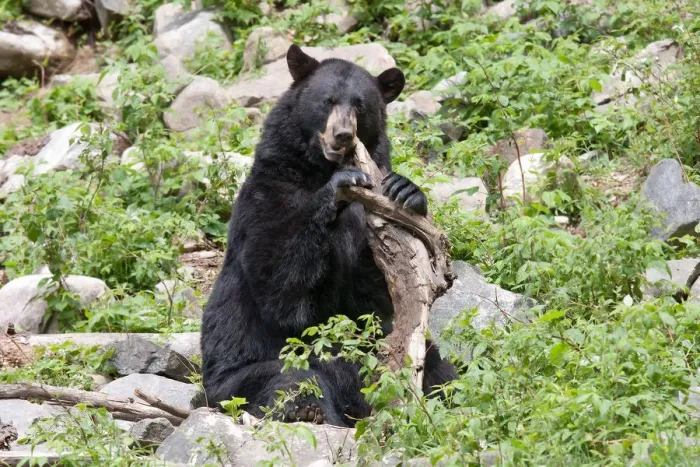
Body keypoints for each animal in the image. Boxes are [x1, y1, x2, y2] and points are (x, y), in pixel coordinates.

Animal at [200, 44, 456, 427]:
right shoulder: (266, 195)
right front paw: (340, 186)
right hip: (232, 383)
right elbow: (281, 284)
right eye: (328, 100)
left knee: (437, 367)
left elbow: (378, 292)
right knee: (293, 379)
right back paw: (310, 410)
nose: (343, 135)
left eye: (360, 105)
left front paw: (406, 190)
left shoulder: (365, 224)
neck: (316, 169)